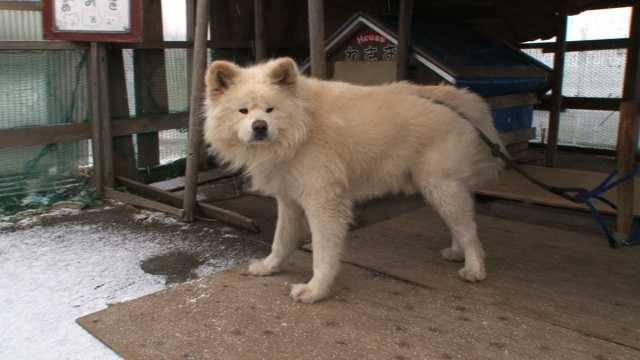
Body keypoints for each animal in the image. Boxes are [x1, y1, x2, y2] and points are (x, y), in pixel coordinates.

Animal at [205, 57, 504, 302]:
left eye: (270, 110)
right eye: (243, 111)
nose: (260, 127)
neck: (303, 125)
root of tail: (461, 101)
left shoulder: (324, 202)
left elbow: (322, 254)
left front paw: (315, 291)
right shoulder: (289, 201)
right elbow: (281, 241)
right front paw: (269, 267)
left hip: (441, 188)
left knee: (469, 231)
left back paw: (474, 268)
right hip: (438, 190)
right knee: (459, 226)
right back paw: (456, 252)